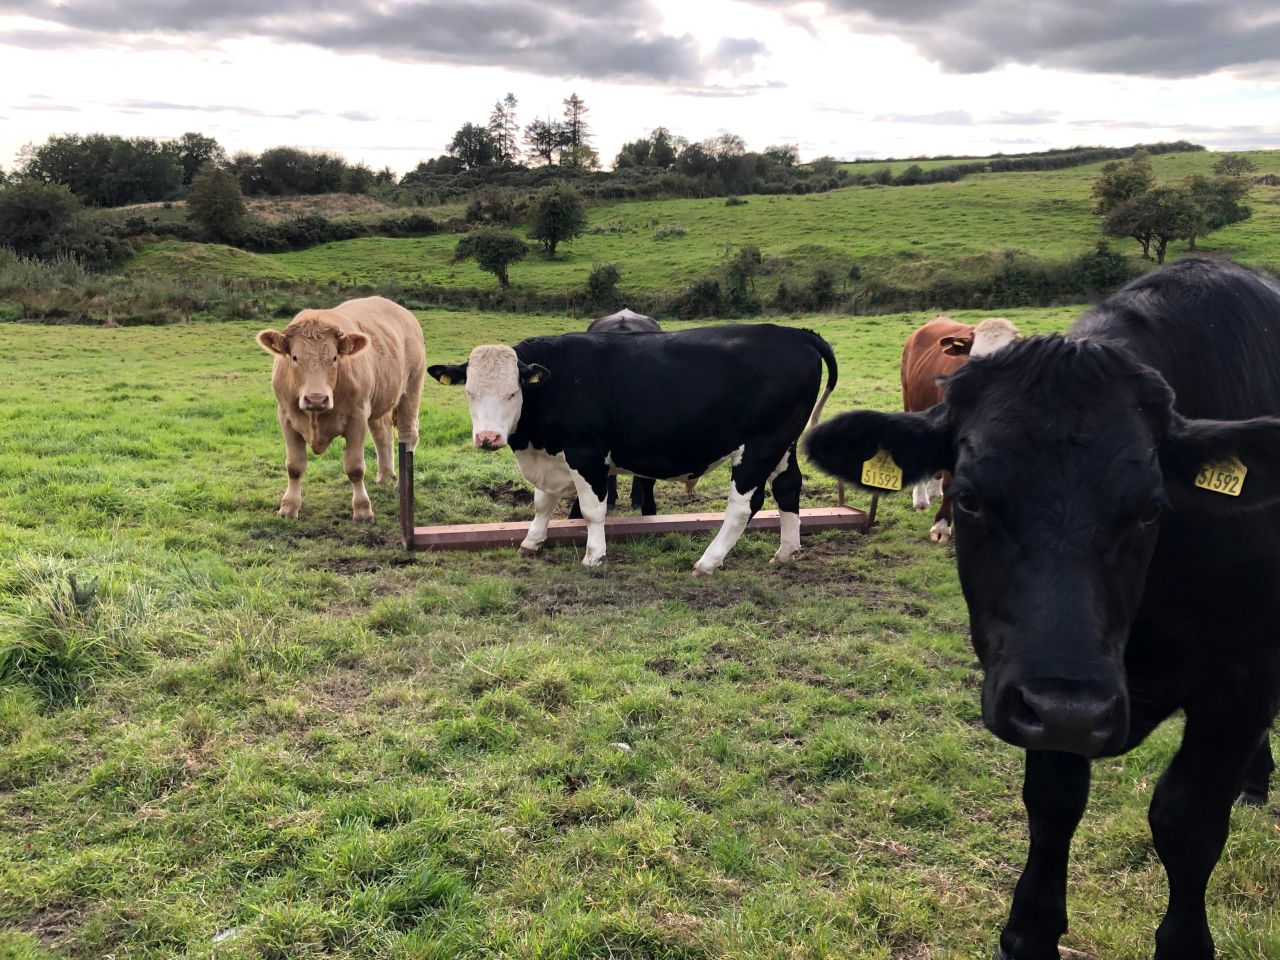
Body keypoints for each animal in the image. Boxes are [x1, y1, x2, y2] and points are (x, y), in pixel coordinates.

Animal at [256, 296, 425, 523]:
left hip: (411, 389)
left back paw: (401, 485)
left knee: (408, 435)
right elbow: (294, 466)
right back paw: (384, 476)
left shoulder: (357, 418)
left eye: (335, 358)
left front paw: (362, 510)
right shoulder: (286, 417)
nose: (316, 398)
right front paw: (289, 507)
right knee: (382, 434)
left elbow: (355, 468)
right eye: (294, 357)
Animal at [429, 323, 838, 573]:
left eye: (513, 393)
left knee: (743, 506)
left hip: (759, 446)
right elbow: (542, 503)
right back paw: (785, 552)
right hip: (782, 445)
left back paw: (708, 561)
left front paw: (594, 556)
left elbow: (592, 510)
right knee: (788, 487)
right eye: (470, 393)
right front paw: (532, 541)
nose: (488, 438)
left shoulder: (585, 454)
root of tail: (796, 334)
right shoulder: (551, 459)